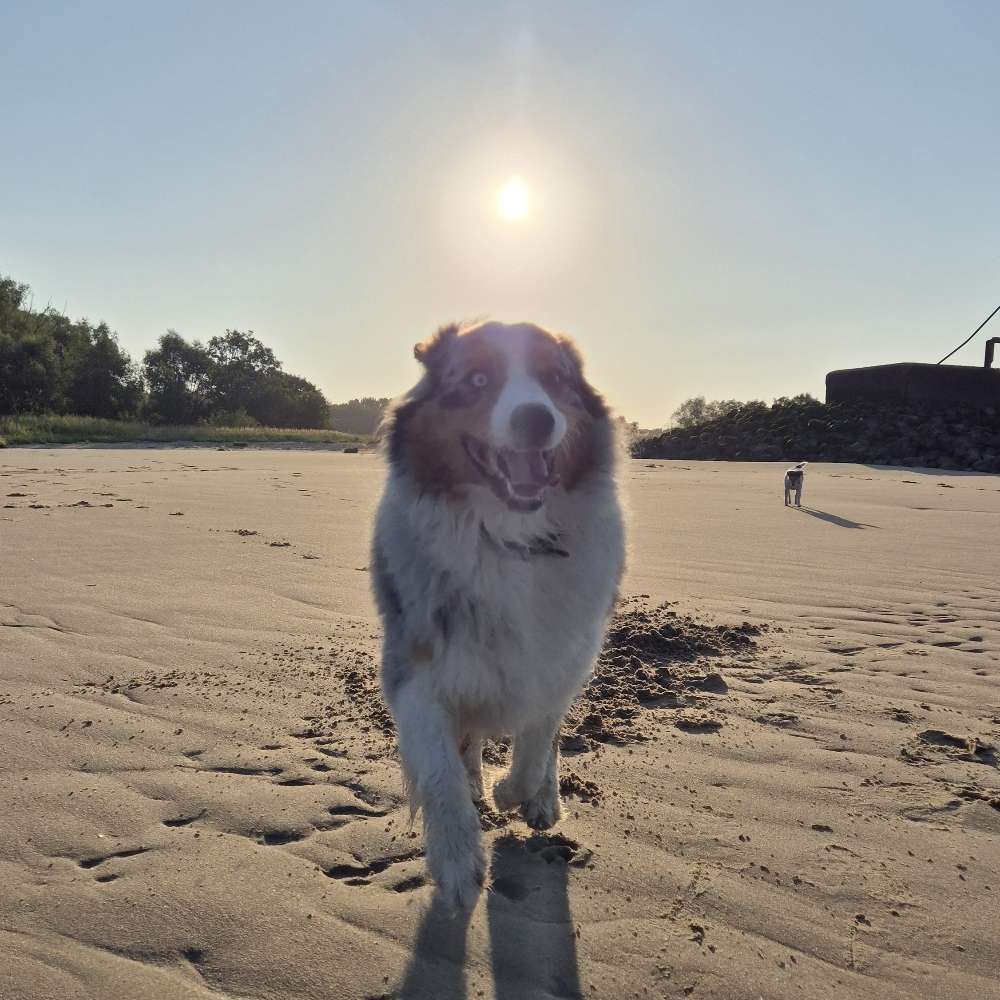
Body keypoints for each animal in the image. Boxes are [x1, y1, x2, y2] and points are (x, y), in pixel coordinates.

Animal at [372, 322, 620, 916]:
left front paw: (520, 793)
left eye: (555, 378)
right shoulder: (414, 667)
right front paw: (458, 862)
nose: (536, 419)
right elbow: (440, 770)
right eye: (478, 379)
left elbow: (539, 737)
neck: (508, 536)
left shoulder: (562, 656)